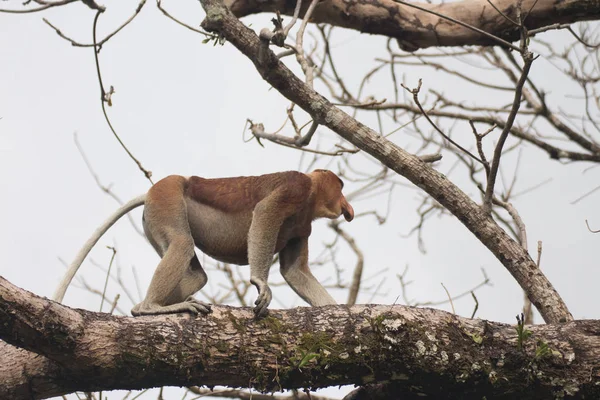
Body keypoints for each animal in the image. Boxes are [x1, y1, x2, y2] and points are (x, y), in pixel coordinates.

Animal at [54, 170, 354, 318]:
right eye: (340, 185)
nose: (347, 207)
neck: (312, 193)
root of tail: (152, 191)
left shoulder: (302, 228)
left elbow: (294, 271)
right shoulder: (295, 187)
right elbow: (265, 213)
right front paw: (261, 284)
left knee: (197, 274)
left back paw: (144, 308)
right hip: (167, 198)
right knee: (182, 244)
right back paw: (151, 307)